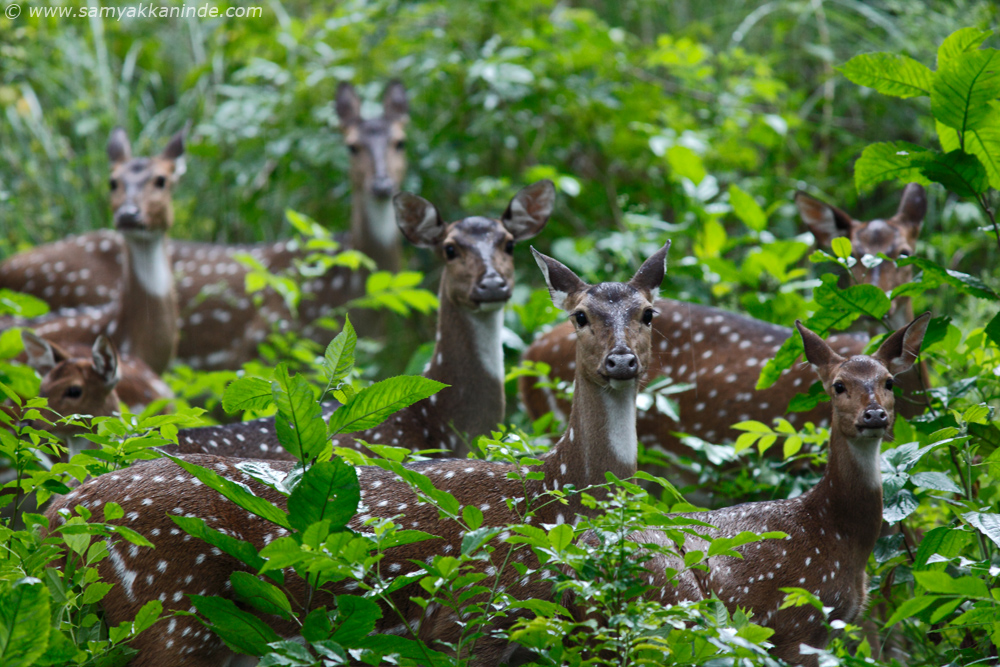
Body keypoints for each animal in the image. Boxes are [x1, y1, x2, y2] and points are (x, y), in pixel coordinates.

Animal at [47, 241, 672, 667]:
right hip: (167, 614)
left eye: (648, 313)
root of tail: (57, 516)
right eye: (580, 316)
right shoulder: (471, 618)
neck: (554, 492)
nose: (620, 361)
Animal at [572, 314, 928, 667]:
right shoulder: (796, 623)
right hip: (672, 601)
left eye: (889, 382)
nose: (874, 415)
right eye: (839, 385)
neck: (836, 532)